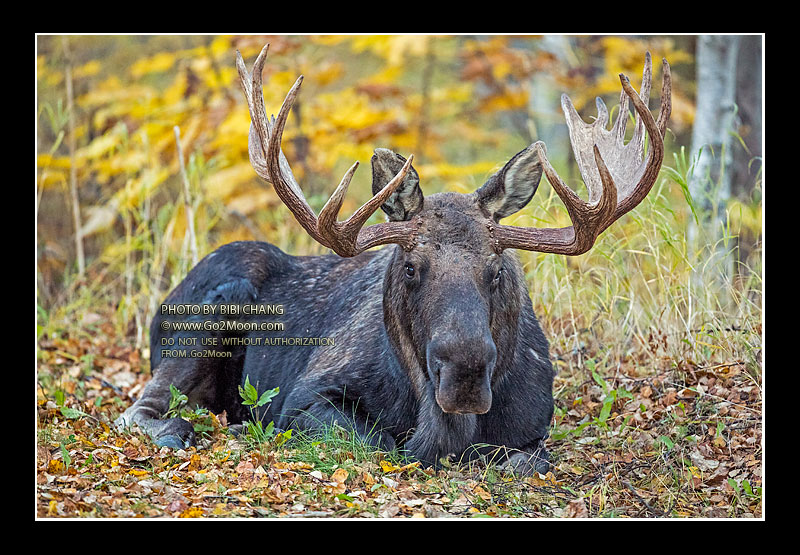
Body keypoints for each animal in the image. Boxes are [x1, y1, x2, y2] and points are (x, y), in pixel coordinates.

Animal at [116, 44, 671, 475]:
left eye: (497, 270)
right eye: (409, 267)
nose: (464, 372)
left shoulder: (536, 428)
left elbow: (523, 459)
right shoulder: (303, 397)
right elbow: (380, 442)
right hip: (207, 318)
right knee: (140, 407)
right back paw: (183, 430)